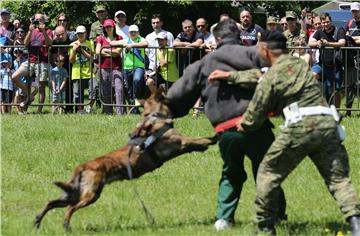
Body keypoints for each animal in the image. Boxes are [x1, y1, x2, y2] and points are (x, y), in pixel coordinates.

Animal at [33, 89, 215, 230]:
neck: (155, 117)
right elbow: (200, 139)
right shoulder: (182, 141)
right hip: (90, 194)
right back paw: (65, 225)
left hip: (74, 193)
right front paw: (213, 139)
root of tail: (82, 166)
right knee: (70, 208)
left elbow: (198, 143)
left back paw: (37, 221)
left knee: (51, 202)